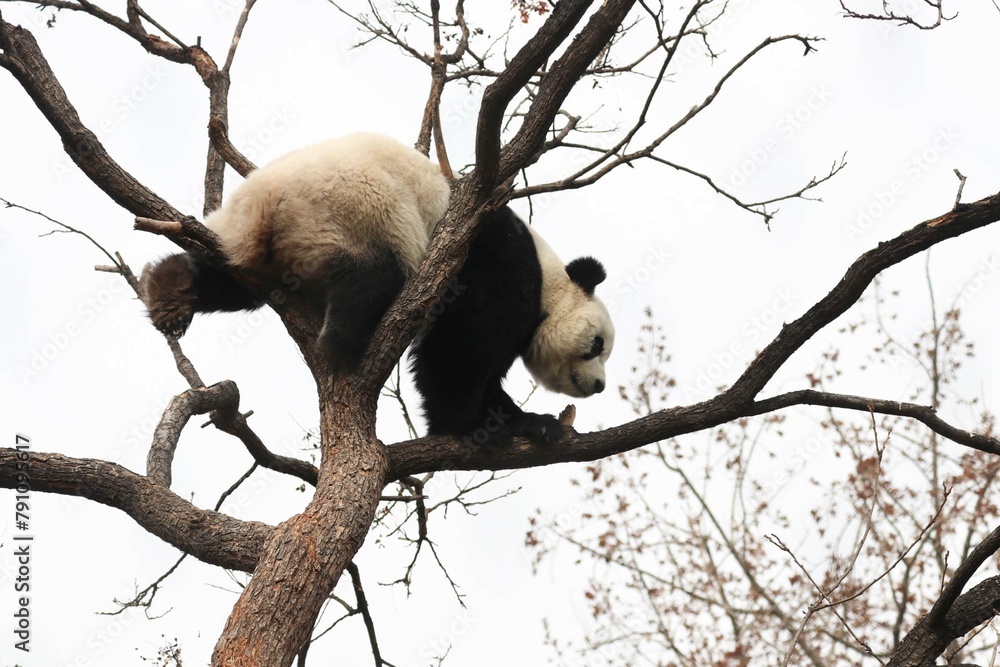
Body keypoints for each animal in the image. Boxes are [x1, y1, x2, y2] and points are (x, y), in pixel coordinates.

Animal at [141, 133, 614, 446]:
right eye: (596, 345)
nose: (599, 387)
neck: (550, 285)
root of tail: (264, 203)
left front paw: (530, 422)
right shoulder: (500, 269)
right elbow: (461, 347)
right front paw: (472, 426)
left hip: (266, 252)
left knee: (233, 283)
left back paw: (171, 292)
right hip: (355, 211)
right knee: (373, 277)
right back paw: (341, 345)